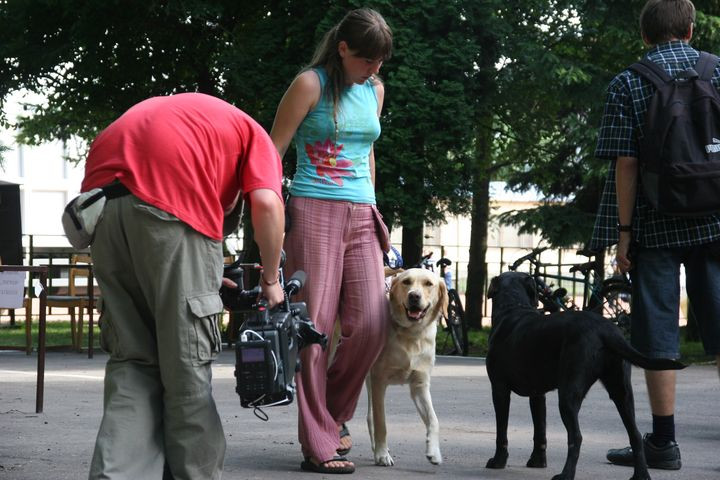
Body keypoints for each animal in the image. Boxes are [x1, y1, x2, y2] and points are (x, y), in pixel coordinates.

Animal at [368, 266, 448, 464]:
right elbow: (382, 423)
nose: (414, 296)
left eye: (428, 283)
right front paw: (383, 454)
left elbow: (434, 420)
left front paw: (434, 451)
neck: (412, 335)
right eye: (406, 282)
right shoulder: (379, 380)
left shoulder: (419, 384)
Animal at [486, 272, 684, 478]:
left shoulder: (499, 389)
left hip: (568, 393)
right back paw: (641, 475)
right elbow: (539, 429)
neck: (513, 307)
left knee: (576, 437)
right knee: (635, 435)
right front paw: (537, 461)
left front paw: (498, 461)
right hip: (621, 392)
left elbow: (501, 430)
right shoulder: (538, 394)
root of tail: (606, 330)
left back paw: (565, 475)